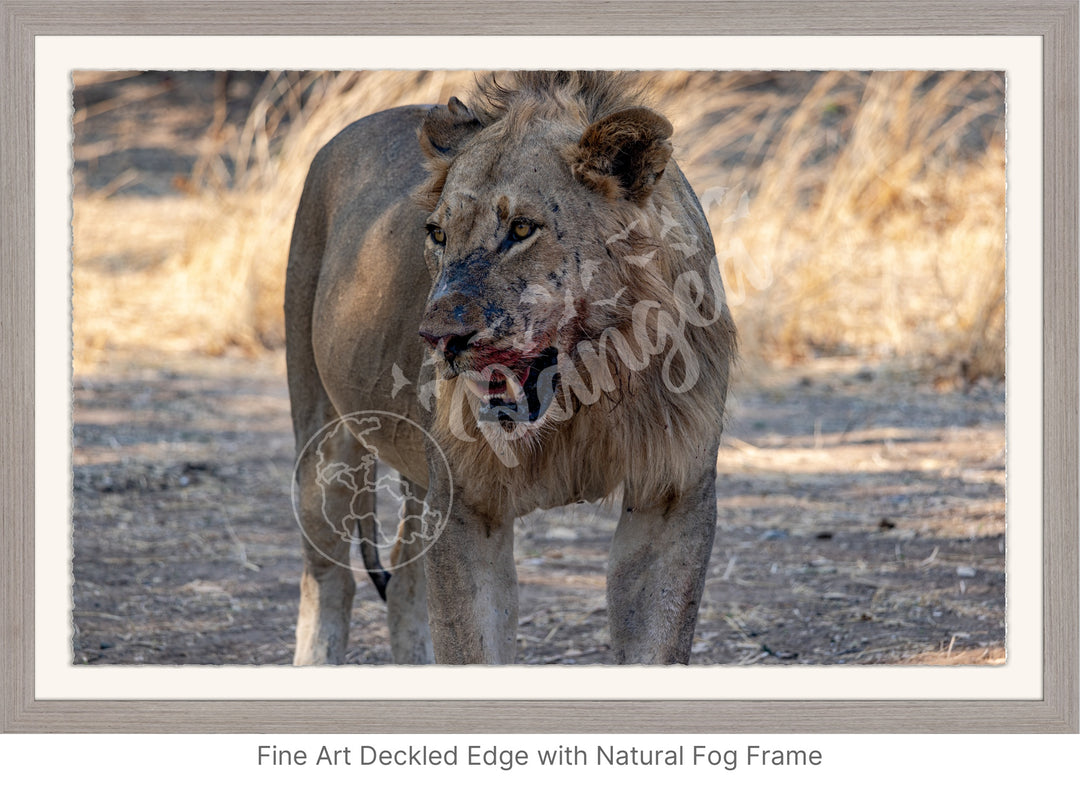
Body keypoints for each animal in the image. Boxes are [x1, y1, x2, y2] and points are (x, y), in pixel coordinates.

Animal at [285, 72, 734, 664]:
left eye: (521, 229)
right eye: (438, 234)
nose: (438, 339)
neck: (587, 393)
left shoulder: (672, 496)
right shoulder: (466, 503)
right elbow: (471, 646)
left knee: (403, 579)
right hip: (324, 437)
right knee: (327, 578)